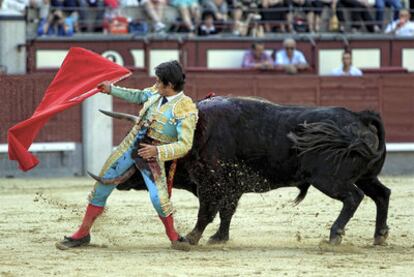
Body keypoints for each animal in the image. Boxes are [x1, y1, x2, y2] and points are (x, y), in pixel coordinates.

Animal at [98, 96, 390, 246]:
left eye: (140, 155)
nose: (118, 181)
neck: (197, 132)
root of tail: (359, 117)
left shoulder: (211, 184)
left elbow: (207, 212)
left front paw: (191, 237)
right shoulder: (231, 187)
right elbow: (226, 212)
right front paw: (219, 238)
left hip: (329, 179)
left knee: (353, 197)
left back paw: (334, 235)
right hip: (366, 176)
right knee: (382, 194)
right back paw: (379, 236)